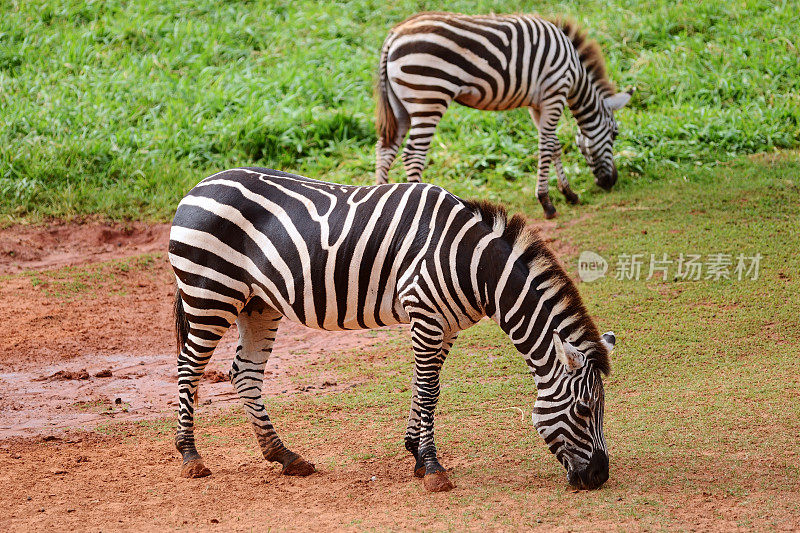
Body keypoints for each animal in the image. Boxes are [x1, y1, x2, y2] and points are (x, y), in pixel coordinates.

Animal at [170, 166, 620, 490]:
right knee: (189, 367)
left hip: (257, 304)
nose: (600, 476)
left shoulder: (446, 325)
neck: (473, 265)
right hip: (210, 294)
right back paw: (191, 456)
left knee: (245, 372)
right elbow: (428, 389)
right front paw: (434, 468)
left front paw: (417, 456)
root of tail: (197, 187)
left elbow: (426, 387)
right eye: (584, 409)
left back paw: (284, 456)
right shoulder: (426, 314)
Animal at [374, 11, 632, 218]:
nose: (611, 182)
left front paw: (569, 194)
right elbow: (546, 146)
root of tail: (394, 34)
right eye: (615, 134)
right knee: (413, 155)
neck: (576, 73)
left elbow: (554, 145)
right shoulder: (555, 93)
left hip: (401, 106)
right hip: (429, 95)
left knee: (385, 150)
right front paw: (547, 202)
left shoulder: (538, 104)